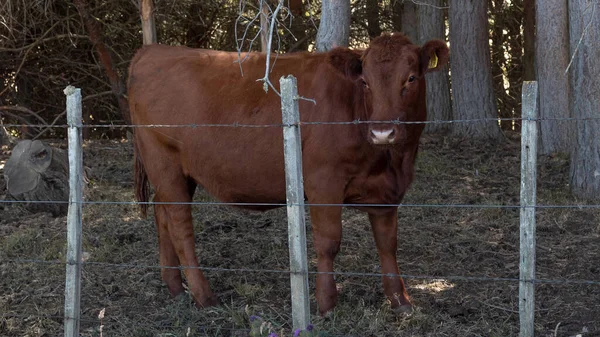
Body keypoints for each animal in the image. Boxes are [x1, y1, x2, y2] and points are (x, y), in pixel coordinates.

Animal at [130, 32, 450, 314]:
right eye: (365, 82)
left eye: (411, 78)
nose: (382, 132)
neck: (391, 161)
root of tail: (152, 51)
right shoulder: (324, 182)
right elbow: (328, 242)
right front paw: (326, 304)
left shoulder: (386, 191)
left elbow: (387, 244)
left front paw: (400, 300)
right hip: (165, 164)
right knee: (180, 227)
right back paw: (204, 296)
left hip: (178, 174)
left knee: (161, 215)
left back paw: (175, 287)